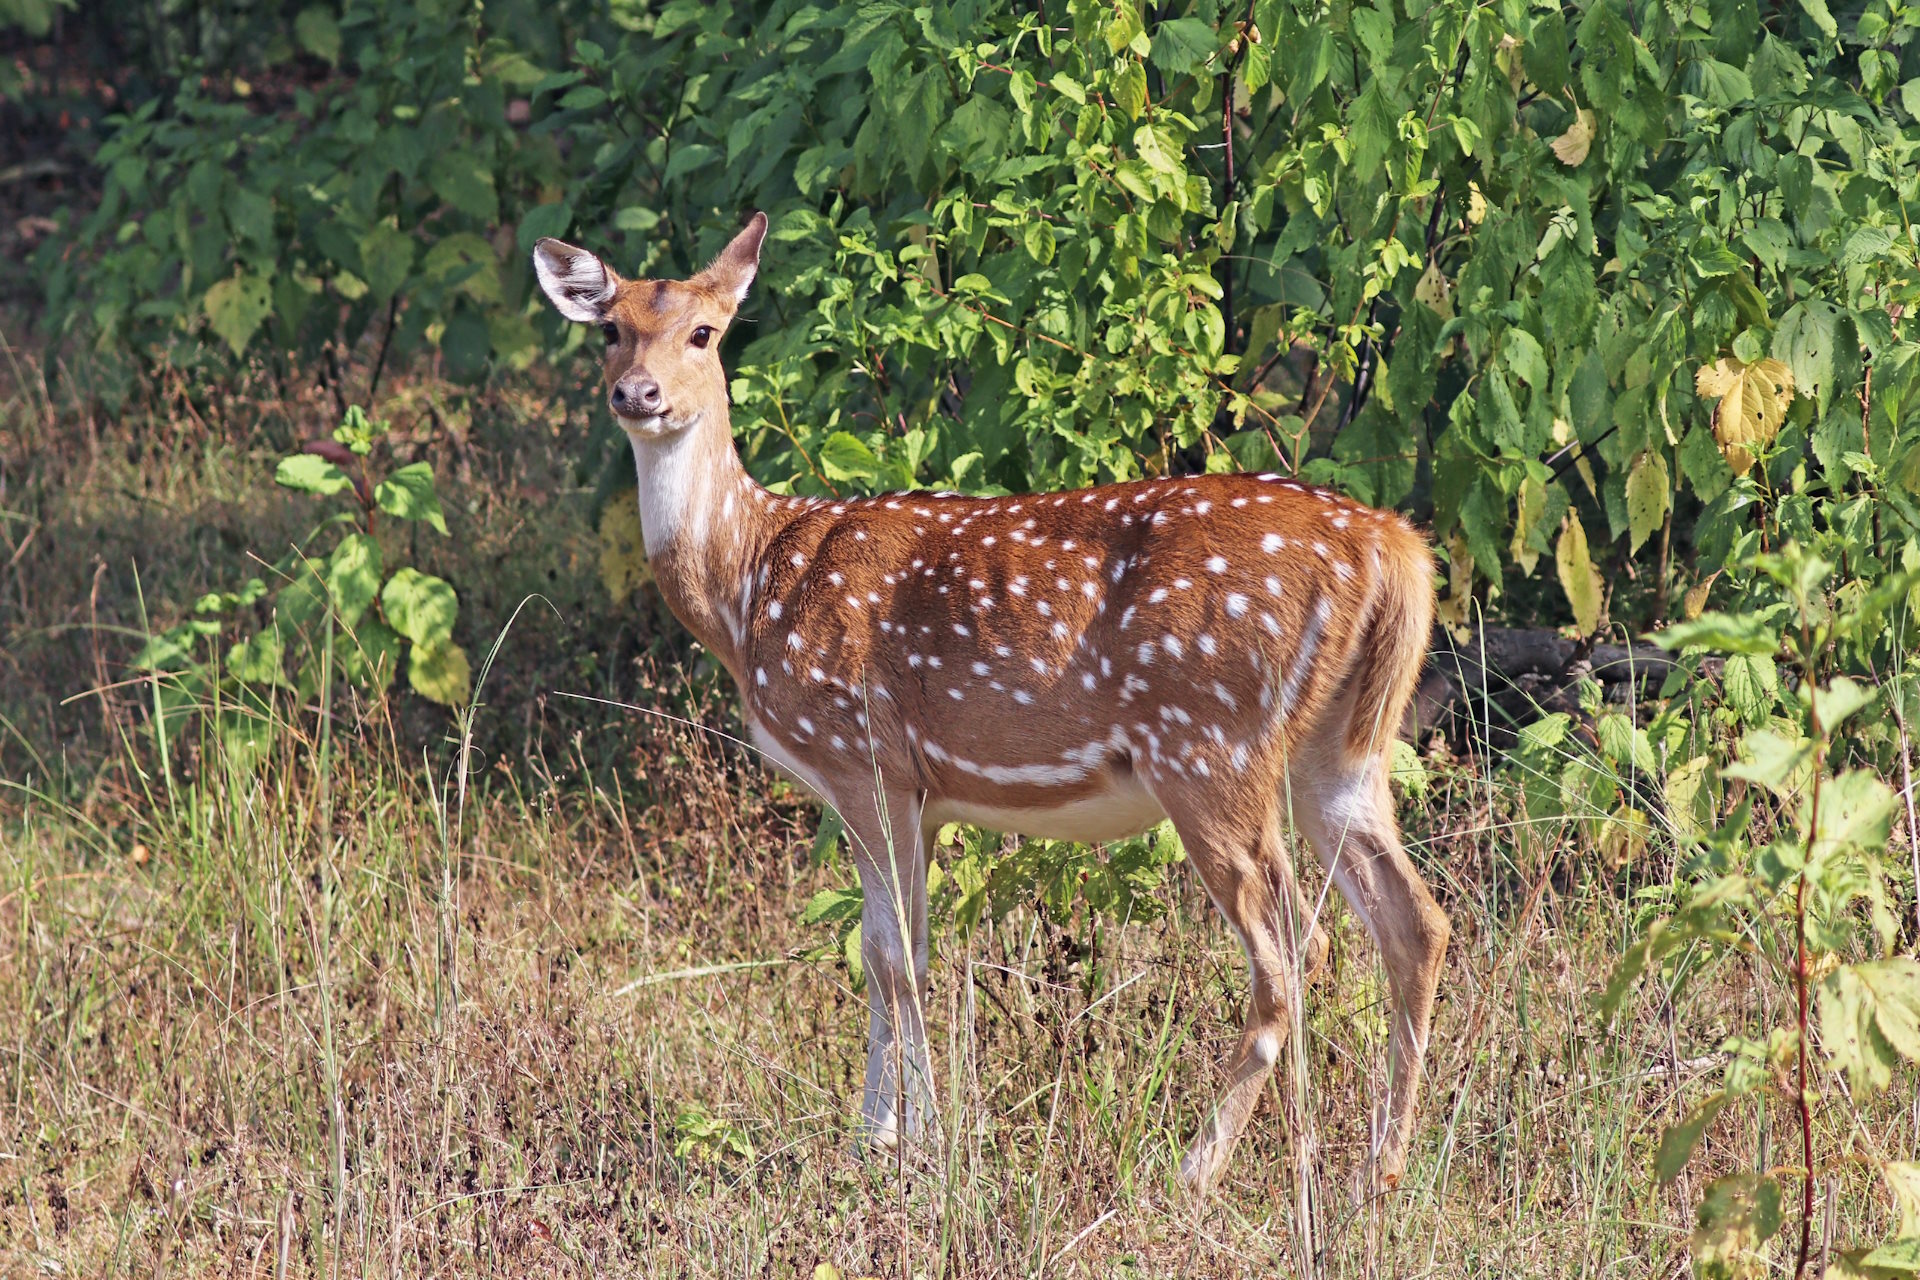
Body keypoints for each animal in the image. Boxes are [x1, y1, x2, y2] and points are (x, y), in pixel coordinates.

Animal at [533, 212, 1449, 1195]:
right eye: (610, 328)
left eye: (705, 333)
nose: (637, 393)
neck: (750, 587)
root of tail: (1394, 546)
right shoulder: (918, 794)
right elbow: (891, 951)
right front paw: (873, 1139)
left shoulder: (861, 755)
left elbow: (895, 961)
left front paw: (922, 1147)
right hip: (1340, 750)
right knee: (1416, 923)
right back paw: (1380, 1171)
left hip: (1209, 742)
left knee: (1294, 949)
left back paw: (1194, 1168)